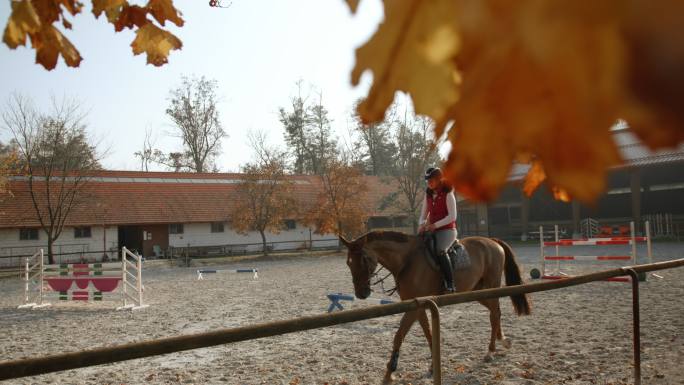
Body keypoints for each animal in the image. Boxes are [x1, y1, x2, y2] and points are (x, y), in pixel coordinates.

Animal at [340, 230, 532, 382]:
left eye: (364, 259)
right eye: (348, 263)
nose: (361, 293)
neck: (407, 261)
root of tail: (492, 241)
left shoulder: (415, 307)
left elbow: (399, 335)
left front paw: (389, 373)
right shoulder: (418, 305)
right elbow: (429, 333)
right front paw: (432, 367)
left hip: (490, 287)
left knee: (494, 314)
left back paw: (491, 351)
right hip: (478, 291)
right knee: (495, 311)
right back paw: (503, 341)